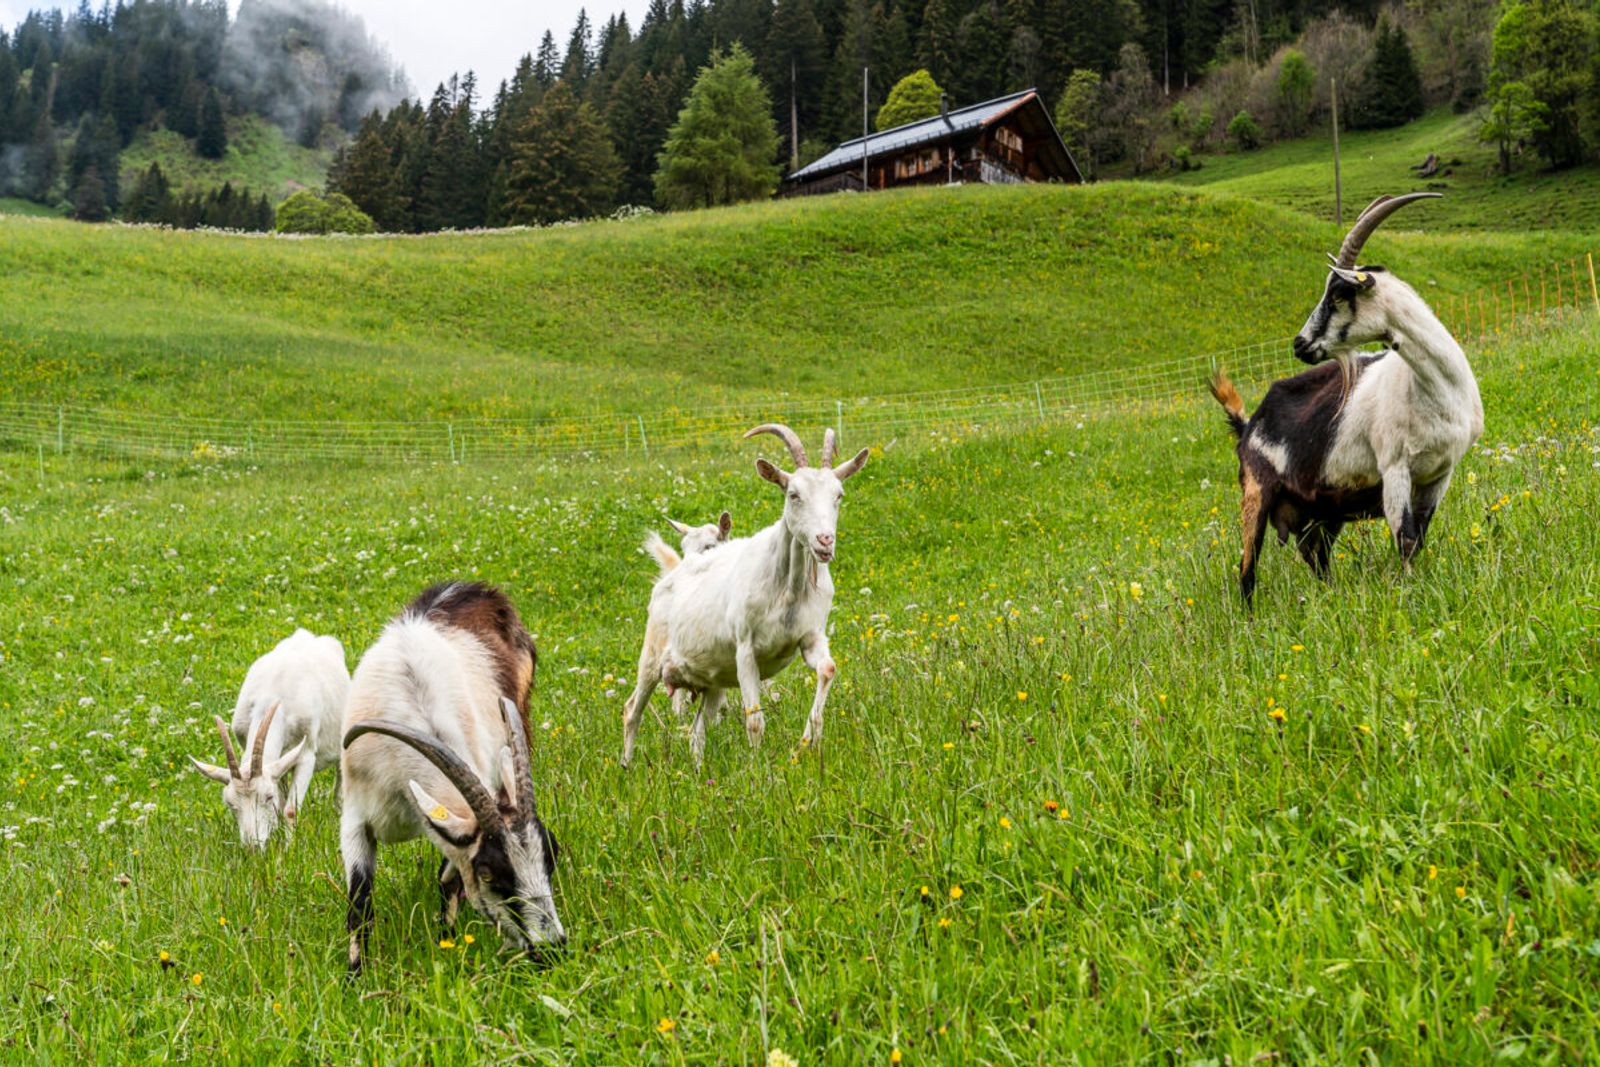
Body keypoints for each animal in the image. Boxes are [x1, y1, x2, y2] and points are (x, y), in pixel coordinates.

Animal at [189, 628, 349, 849]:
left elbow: (290, 810)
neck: (272, 696)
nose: (253, 846)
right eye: (230, 803)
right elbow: (280, 806)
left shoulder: (306, 754)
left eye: (267, 796)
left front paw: (289, 849)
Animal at [340, 581, 562, 975]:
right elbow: (359, 903)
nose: (551, 947)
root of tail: (475, 588)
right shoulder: (355, 817)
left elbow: (448, 878)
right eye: (488, 873)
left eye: (552, 855)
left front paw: (447, 937)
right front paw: (354, 977)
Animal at [621, 424, 869, 767]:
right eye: (793, 494)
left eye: (838, 495)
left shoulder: (810, 637)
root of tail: (669, 577)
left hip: (712, 678)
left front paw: (806, 743)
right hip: (653, 653)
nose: (824, 541)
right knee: (633, 709)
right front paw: (758, 768)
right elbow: (754, 719)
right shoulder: (746, 650)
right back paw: (626, 766)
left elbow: (827, 670)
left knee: (696, 732)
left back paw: (698, 770)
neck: (787, 589)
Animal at [1210, 192, 1483, 604]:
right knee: (1247, 569)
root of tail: (1247, 425)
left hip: (1323, 509)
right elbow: (1405, 538)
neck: (1437, 390)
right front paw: (1410, 593)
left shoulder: (1440, 473)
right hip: (1256, 491)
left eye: (1339, 293)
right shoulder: (1394, 467)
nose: (1300, 343)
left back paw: (1330, 597)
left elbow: (1418, 537)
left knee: (1314, 554)